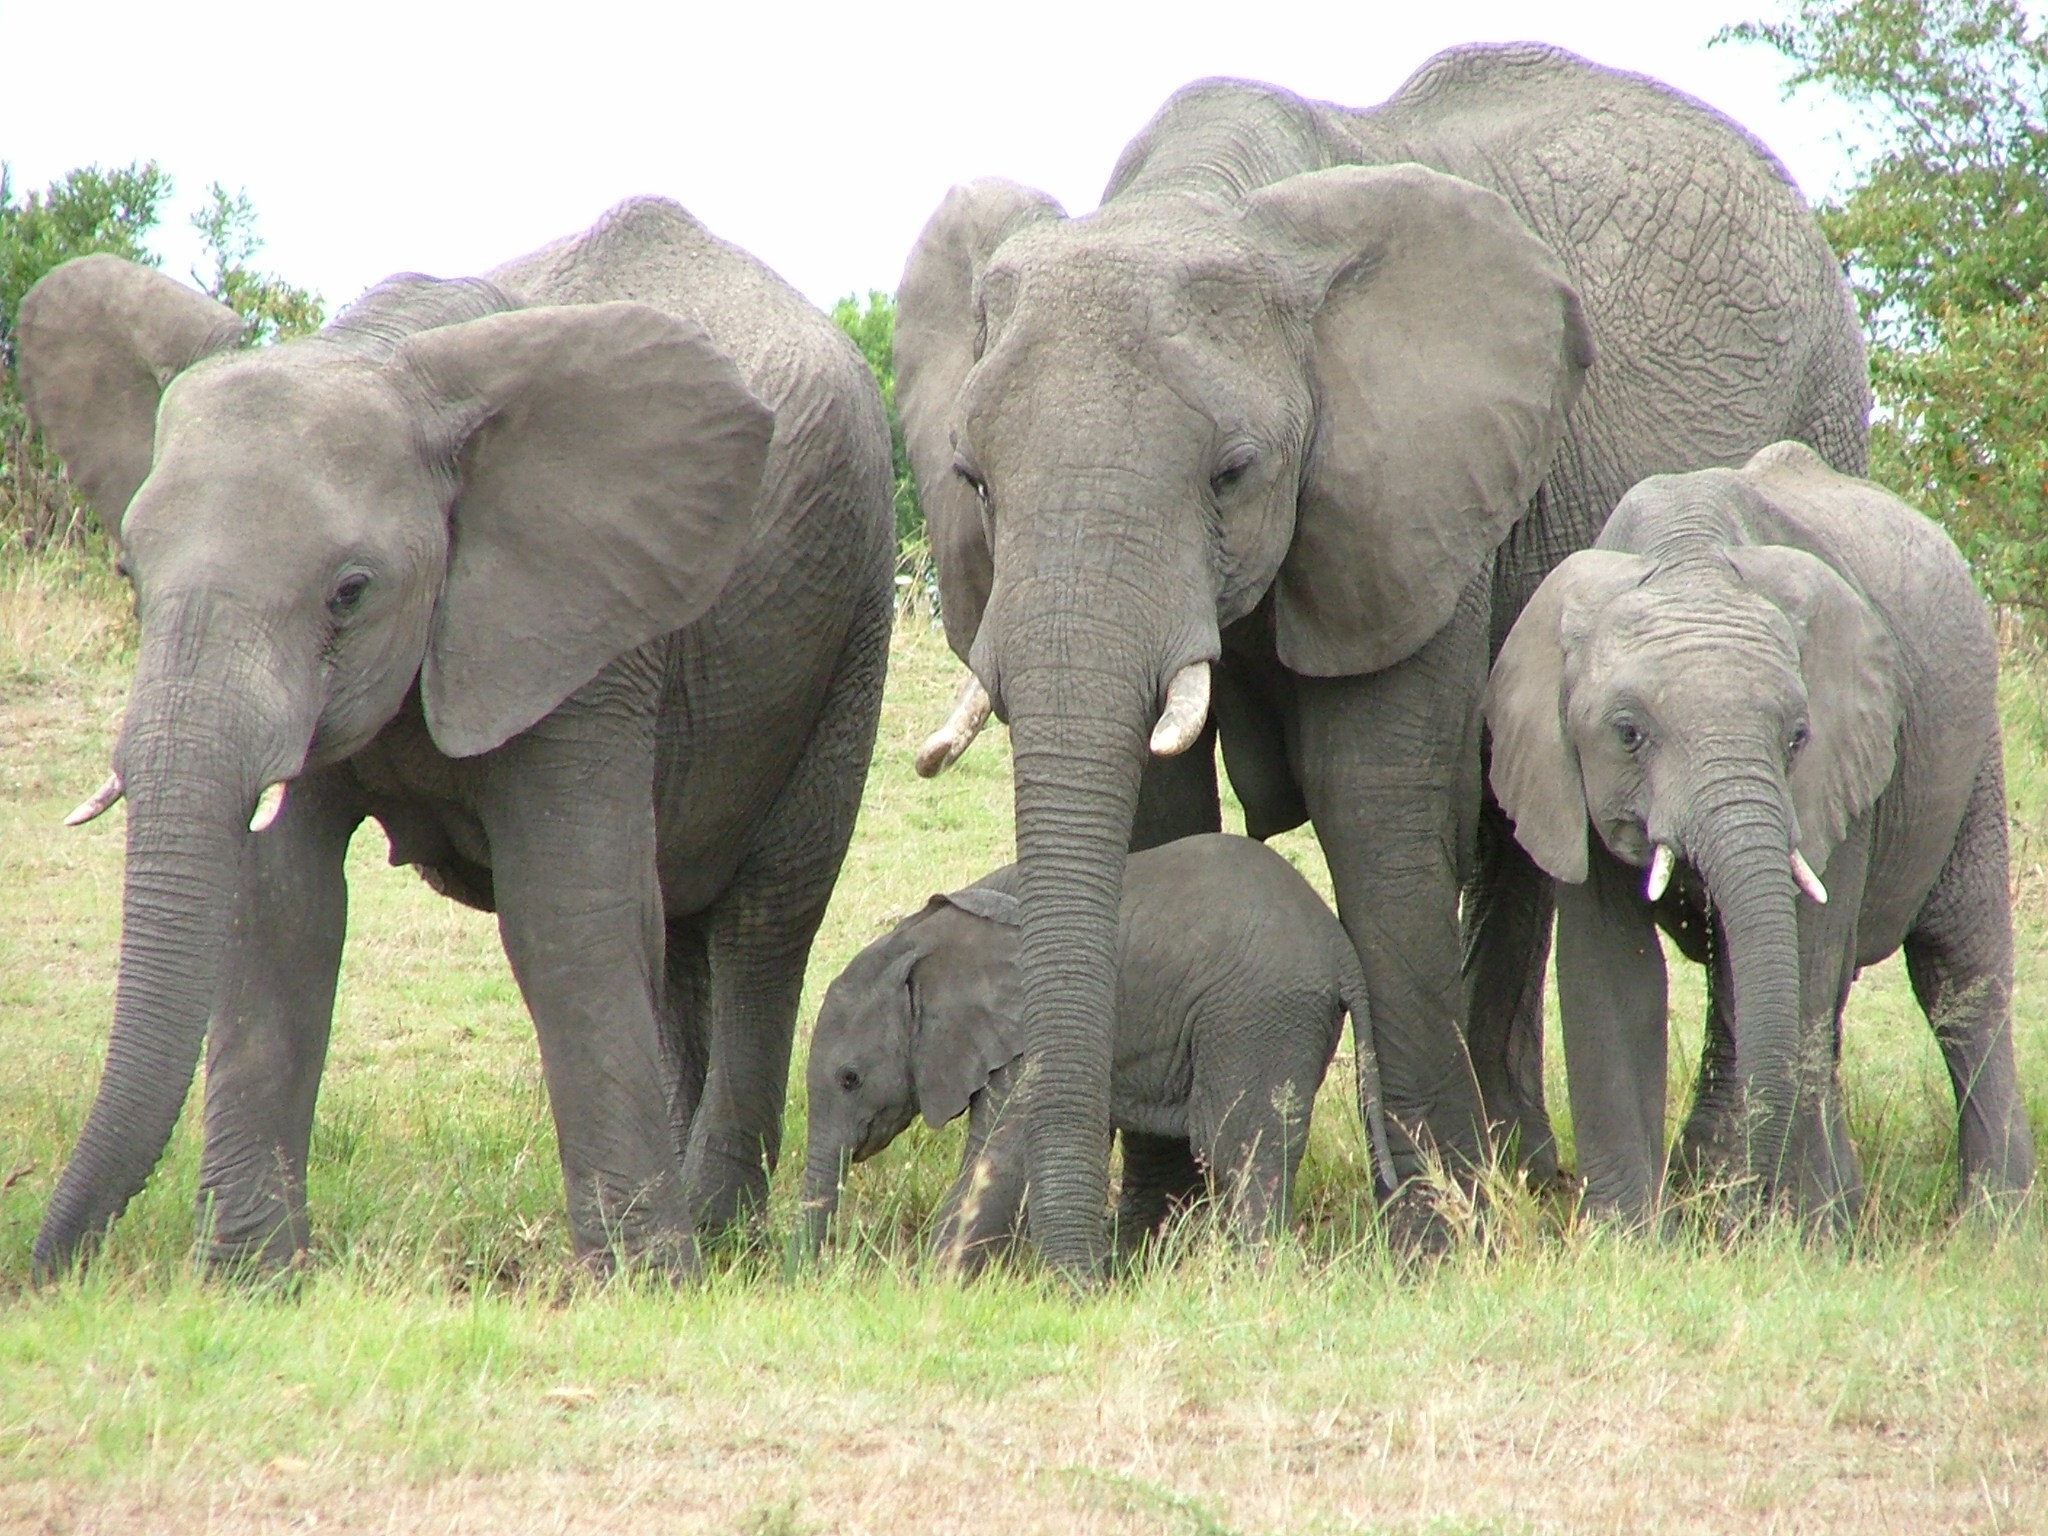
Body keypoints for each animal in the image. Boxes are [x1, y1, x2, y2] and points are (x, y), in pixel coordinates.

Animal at [16, 195, 897, 1277]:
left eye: (350, 593)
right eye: (130, 575)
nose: (51, 1271)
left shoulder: (585, 626)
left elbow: (568, 910)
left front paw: (643, 1282)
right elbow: (281, 910)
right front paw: (252, 1282)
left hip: (850, 611)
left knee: (766, 916)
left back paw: (719, 1228)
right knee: (681, 924)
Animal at [798, 835, 1392, 1269]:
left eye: (850, 1078)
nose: (816, 1273)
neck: (924, 938)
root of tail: (1339, 947)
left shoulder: (1024, 1033)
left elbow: (1004, 1156)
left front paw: (930, 1288)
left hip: (1256, 1016)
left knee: (1238, 1150)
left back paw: (1249, 1277)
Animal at [897, 45, 1875, 1277]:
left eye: (1232, 472)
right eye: (972, 479)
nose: (1073, 1277)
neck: (1201, 201)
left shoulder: (1418, 493)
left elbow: (1373, 795)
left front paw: (1435, 1247)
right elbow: (1159, 816)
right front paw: (1154, 1237)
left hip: (1820, 406)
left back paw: (1662, 1182)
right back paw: (1522, 1166)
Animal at [1482, 442, 2039, 1228]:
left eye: (1798, 736)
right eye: (1627, 733)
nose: (1722, 1214)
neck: (1687, 556)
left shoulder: (1845, 764)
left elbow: (1804, 953)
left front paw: (1795, 1230)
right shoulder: (1565, 781)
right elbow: (1612, 976)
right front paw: (1632, 1236)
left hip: (1975, 751)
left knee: (1959, 970)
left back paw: (1990, 1223)